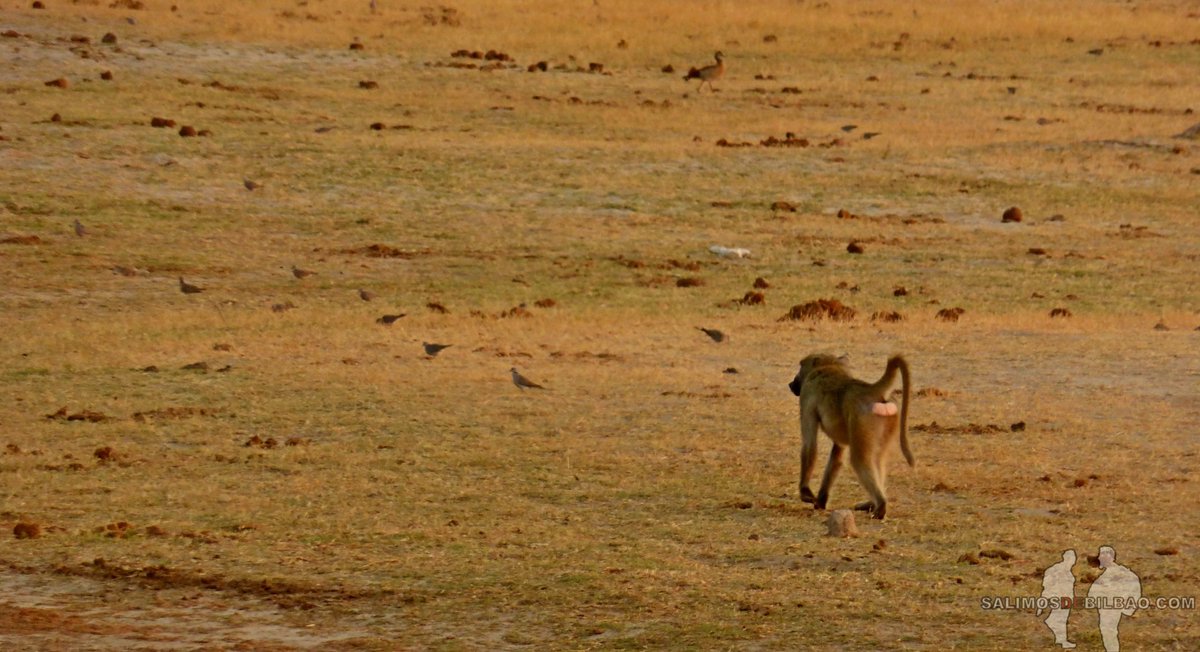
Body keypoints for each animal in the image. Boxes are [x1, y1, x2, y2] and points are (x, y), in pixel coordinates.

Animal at [787, 354, 913, 520]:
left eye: (801, 366)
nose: (791, 384)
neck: (828, 366)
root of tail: (872, 390)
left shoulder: (807, 395)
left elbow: (810, 445)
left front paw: (805, 493)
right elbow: (837, 454)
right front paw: (820, 501)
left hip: (862, 420)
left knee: (860, 460)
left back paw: (881, 506)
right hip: (889, 420)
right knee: (878, 459)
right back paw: (871, 504)